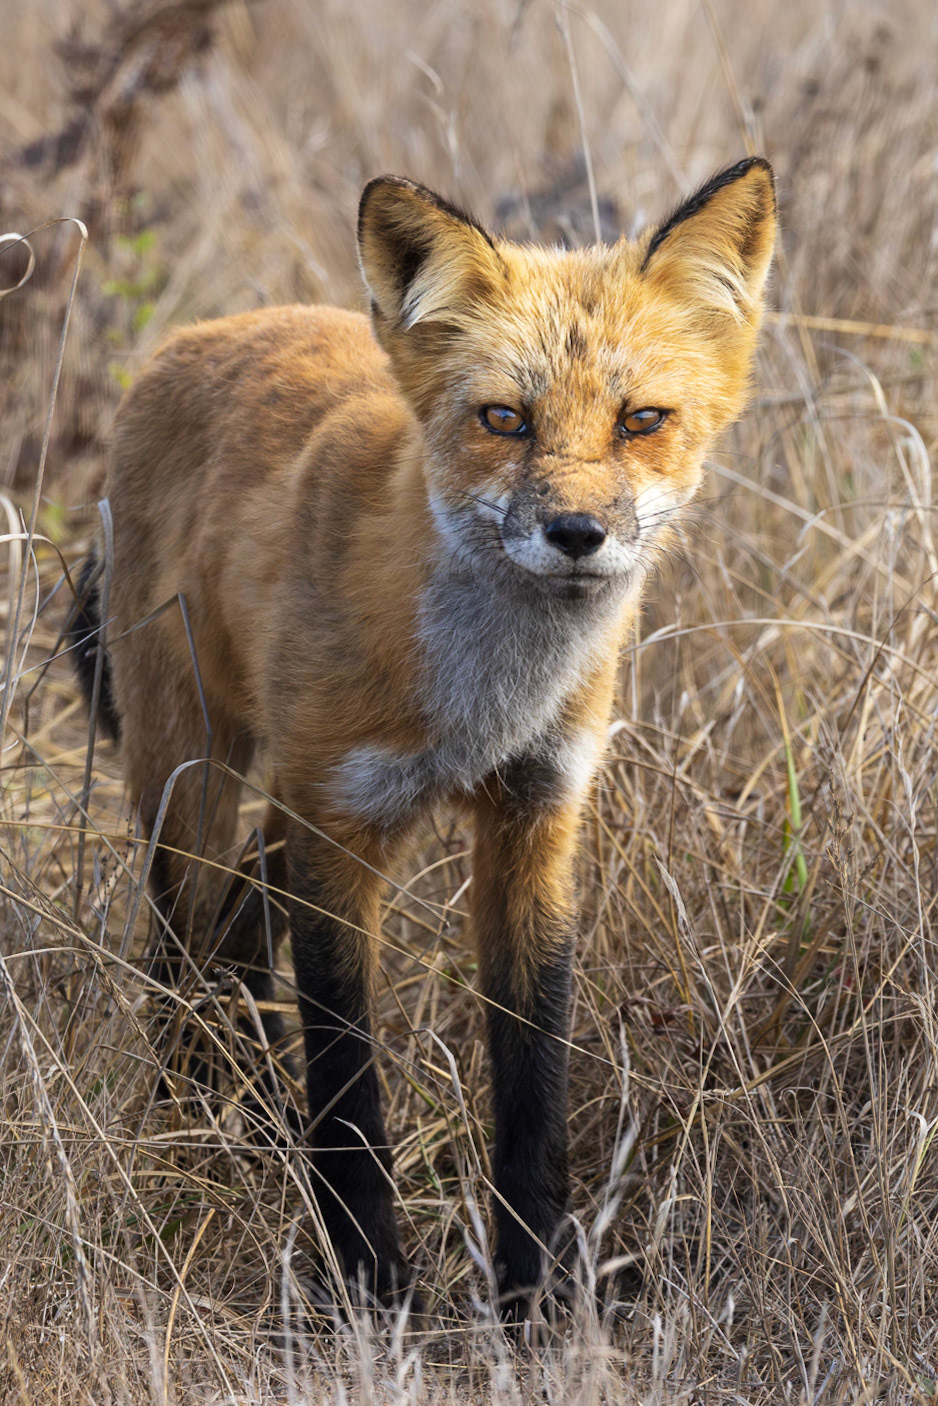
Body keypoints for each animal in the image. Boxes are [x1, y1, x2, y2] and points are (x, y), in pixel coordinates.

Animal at [70, 157, 776, 1315]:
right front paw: (370, 1290)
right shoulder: (341, 834)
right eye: (504, 418)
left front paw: (535, 1301)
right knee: (182, 949)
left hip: (288, 805)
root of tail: (202, 333)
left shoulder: (533, 820)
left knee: (238, 924)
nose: (576, 533)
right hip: (195, 775)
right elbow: (351, 1093)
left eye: (640, 419)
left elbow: (533, 1087)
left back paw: (257, 1120)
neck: (478, 703)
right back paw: (192, 1130)